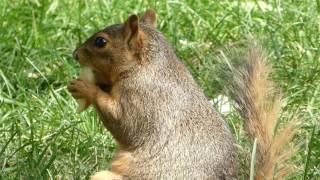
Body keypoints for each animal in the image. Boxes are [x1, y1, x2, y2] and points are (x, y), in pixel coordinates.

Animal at [68, 9, 298, 179]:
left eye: (101, 42)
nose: (75, 54)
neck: (147, 66)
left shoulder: (144, 99)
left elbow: (124, 124)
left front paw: (86, 88)